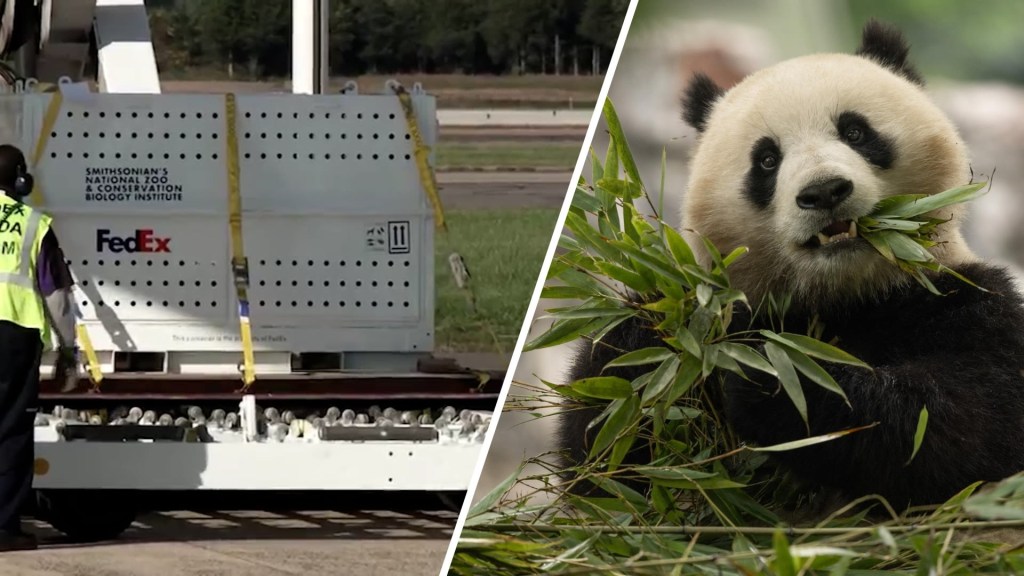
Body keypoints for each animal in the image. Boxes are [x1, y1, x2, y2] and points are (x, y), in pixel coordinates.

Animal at [557, 20, 1024, 508]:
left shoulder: (964, 300)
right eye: (766, 159)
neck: (842, 295)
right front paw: (658, 339)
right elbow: (605, 459)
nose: (824, 191)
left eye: (855, 132)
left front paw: (770, 374)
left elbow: (966, 424)